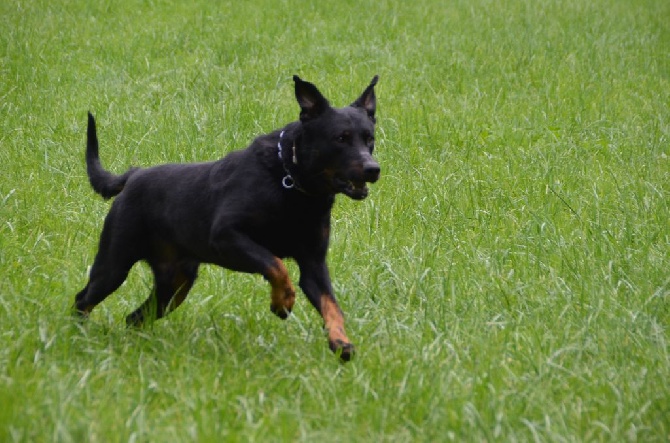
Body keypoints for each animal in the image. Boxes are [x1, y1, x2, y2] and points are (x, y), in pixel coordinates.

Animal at [75, 76, 380, 360]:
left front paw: (341, 342)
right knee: (84, 299)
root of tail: (134, 175)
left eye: (370, 139)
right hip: (114, 264)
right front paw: (282, 302)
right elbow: (276, 264)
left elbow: (332, 305)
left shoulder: (313, 264)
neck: (289, 182)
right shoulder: (226, 236)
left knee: (135, 317)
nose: (373, 169)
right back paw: (78, 335)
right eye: (340, 138)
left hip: (175, 282)